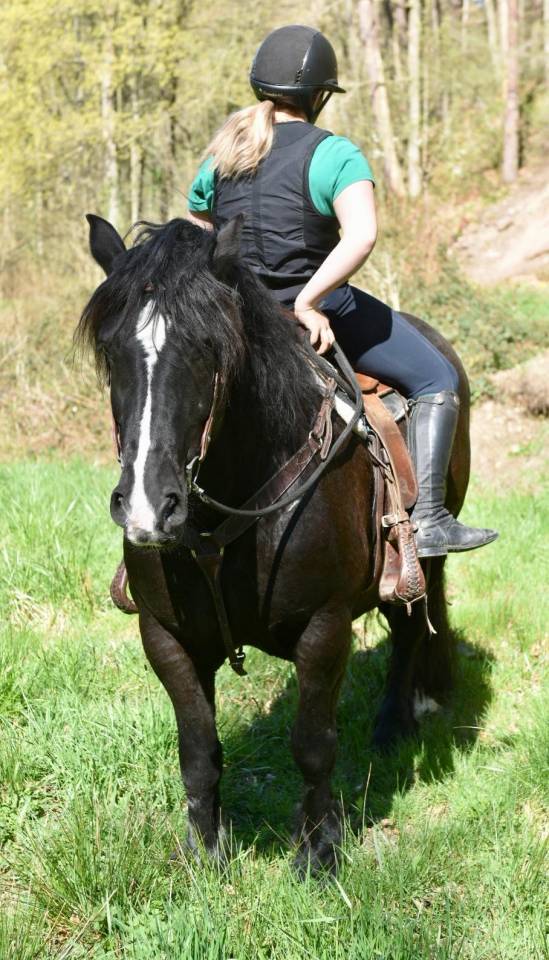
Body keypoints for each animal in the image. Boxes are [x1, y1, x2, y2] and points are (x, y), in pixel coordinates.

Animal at [77, 213, 470, 873]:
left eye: (210, 347)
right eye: (110, 349)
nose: (148, 508)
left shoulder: (324, 627)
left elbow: (312, 744)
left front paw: (318, 851)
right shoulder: (166, 637)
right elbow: (198, 748)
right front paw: (205, 852)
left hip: (423, 561)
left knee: (411, 630)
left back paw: (392, 728)